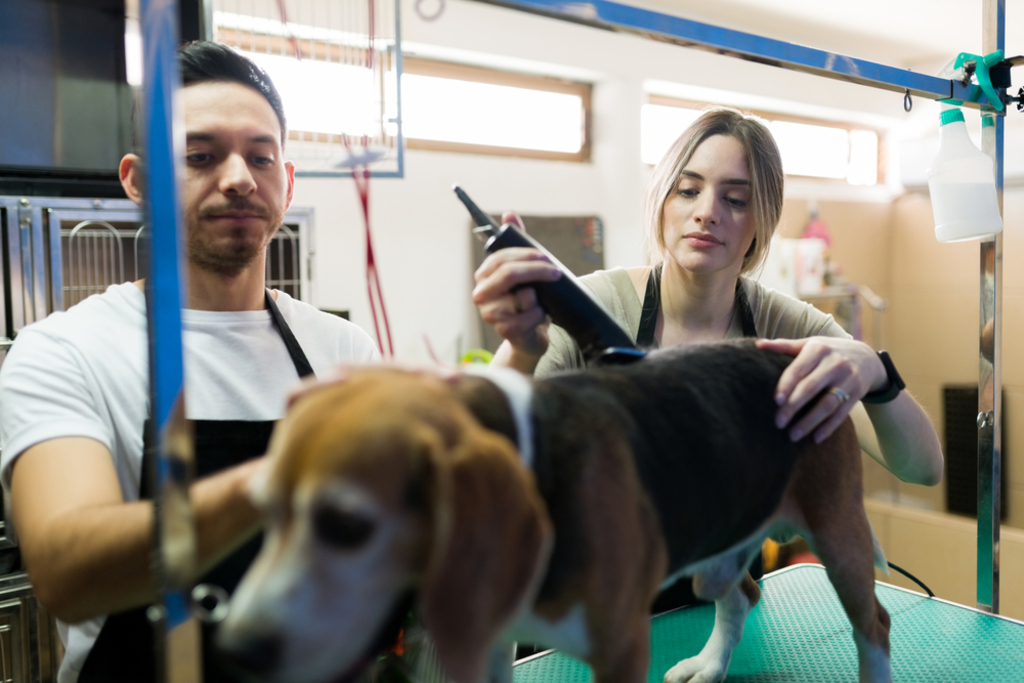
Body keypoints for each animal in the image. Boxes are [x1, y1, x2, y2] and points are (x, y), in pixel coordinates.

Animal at [220, 342, 892, 683]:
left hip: (838, 537)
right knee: (740, 595)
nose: (238, 650)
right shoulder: (490, 648)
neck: (535, 467)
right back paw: (709, 666)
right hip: (716, 550)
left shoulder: (622, 649)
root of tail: (791, 358)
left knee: (875, 624)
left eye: (347, 527)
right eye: (263, 512)